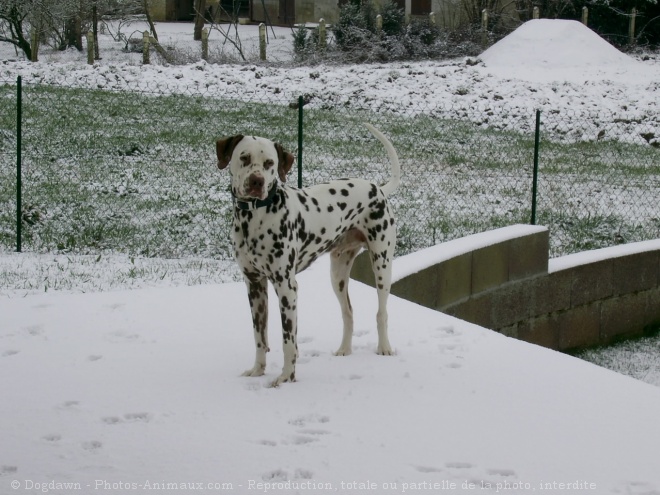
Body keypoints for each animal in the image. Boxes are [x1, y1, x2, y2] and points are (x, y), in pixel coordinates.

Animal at [217, 124, 400, 388]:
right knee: (348, 312)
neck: (254, 219)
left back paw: (384, 348)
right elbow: (260, 337)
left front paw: (286, 377)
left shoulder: (287, 287)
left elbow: (288, 341)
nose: (257, 181)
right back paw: (344, 350)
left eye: (270, 162)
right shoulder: (254, 285)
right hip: (338, 275)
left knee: (381, 312)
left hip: (382, 265)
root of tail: (377, 187)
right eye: (244, 157)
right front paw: (258, 370)